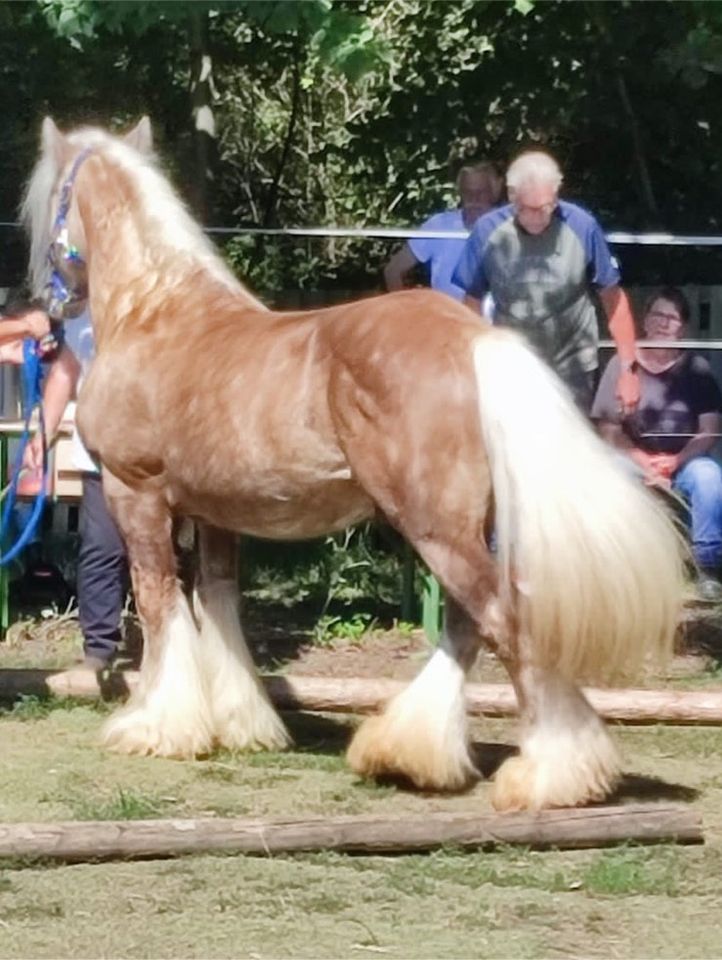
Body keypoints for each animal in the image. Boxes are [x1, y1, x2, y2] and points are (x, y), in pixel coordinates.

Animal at [23, 118, 688, 808]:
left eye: (52, 200)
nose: (49, 301)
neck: (154, 311)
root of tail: (475, 338)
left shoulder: (138, 495)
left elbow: (159, 604)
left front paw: (156, 727)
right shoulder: (217, 515)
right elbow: (220, 606)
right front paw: (243, 724)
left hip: (435, 529)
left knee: (503, 622)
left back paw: (550, 773)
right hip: (464, 529)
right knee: (469, 625)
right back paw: (411, 752)